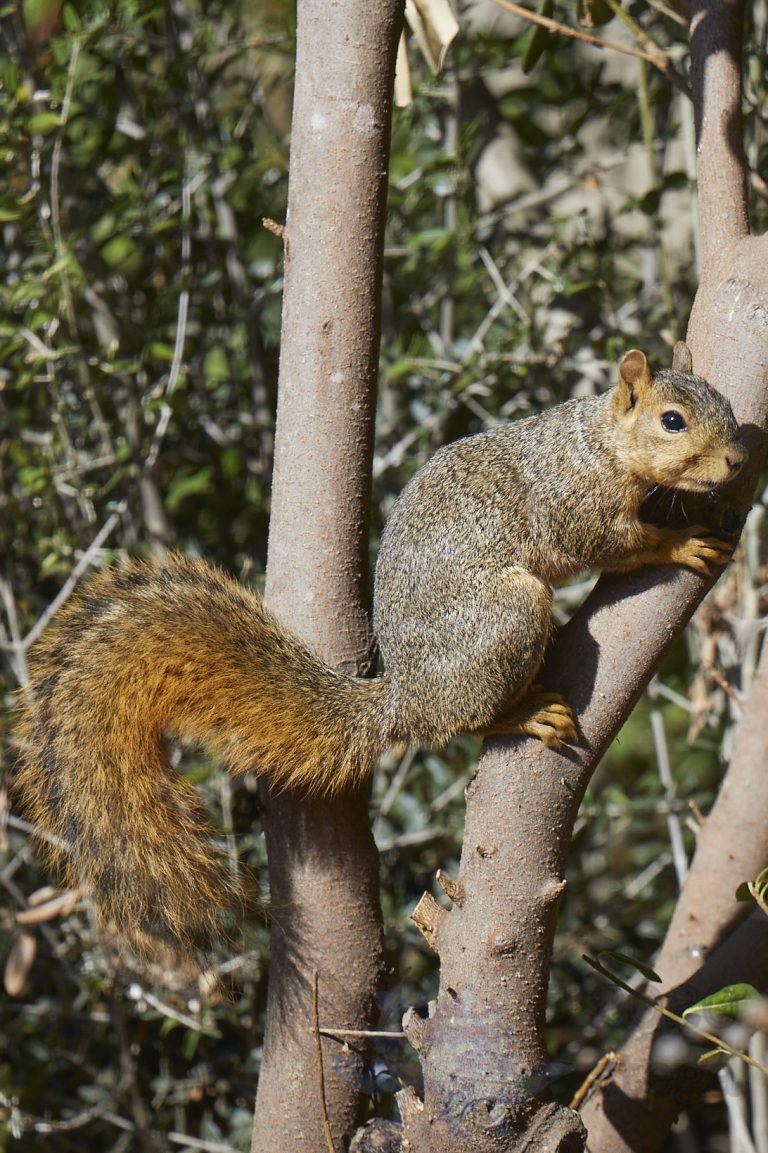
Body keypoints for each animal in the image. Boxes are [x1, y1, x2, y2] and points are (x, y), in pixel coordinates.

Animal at [14, 345, 747, 960]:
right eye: (673, 421)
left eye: (729, 406)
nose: (739, 463)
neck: (597, 444)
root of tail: (403, 698)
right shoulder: (574, 507)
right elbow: (618, 545)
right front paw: (678, 544)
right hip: (510, 615)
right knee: (458, 721)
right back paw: (522, 714)